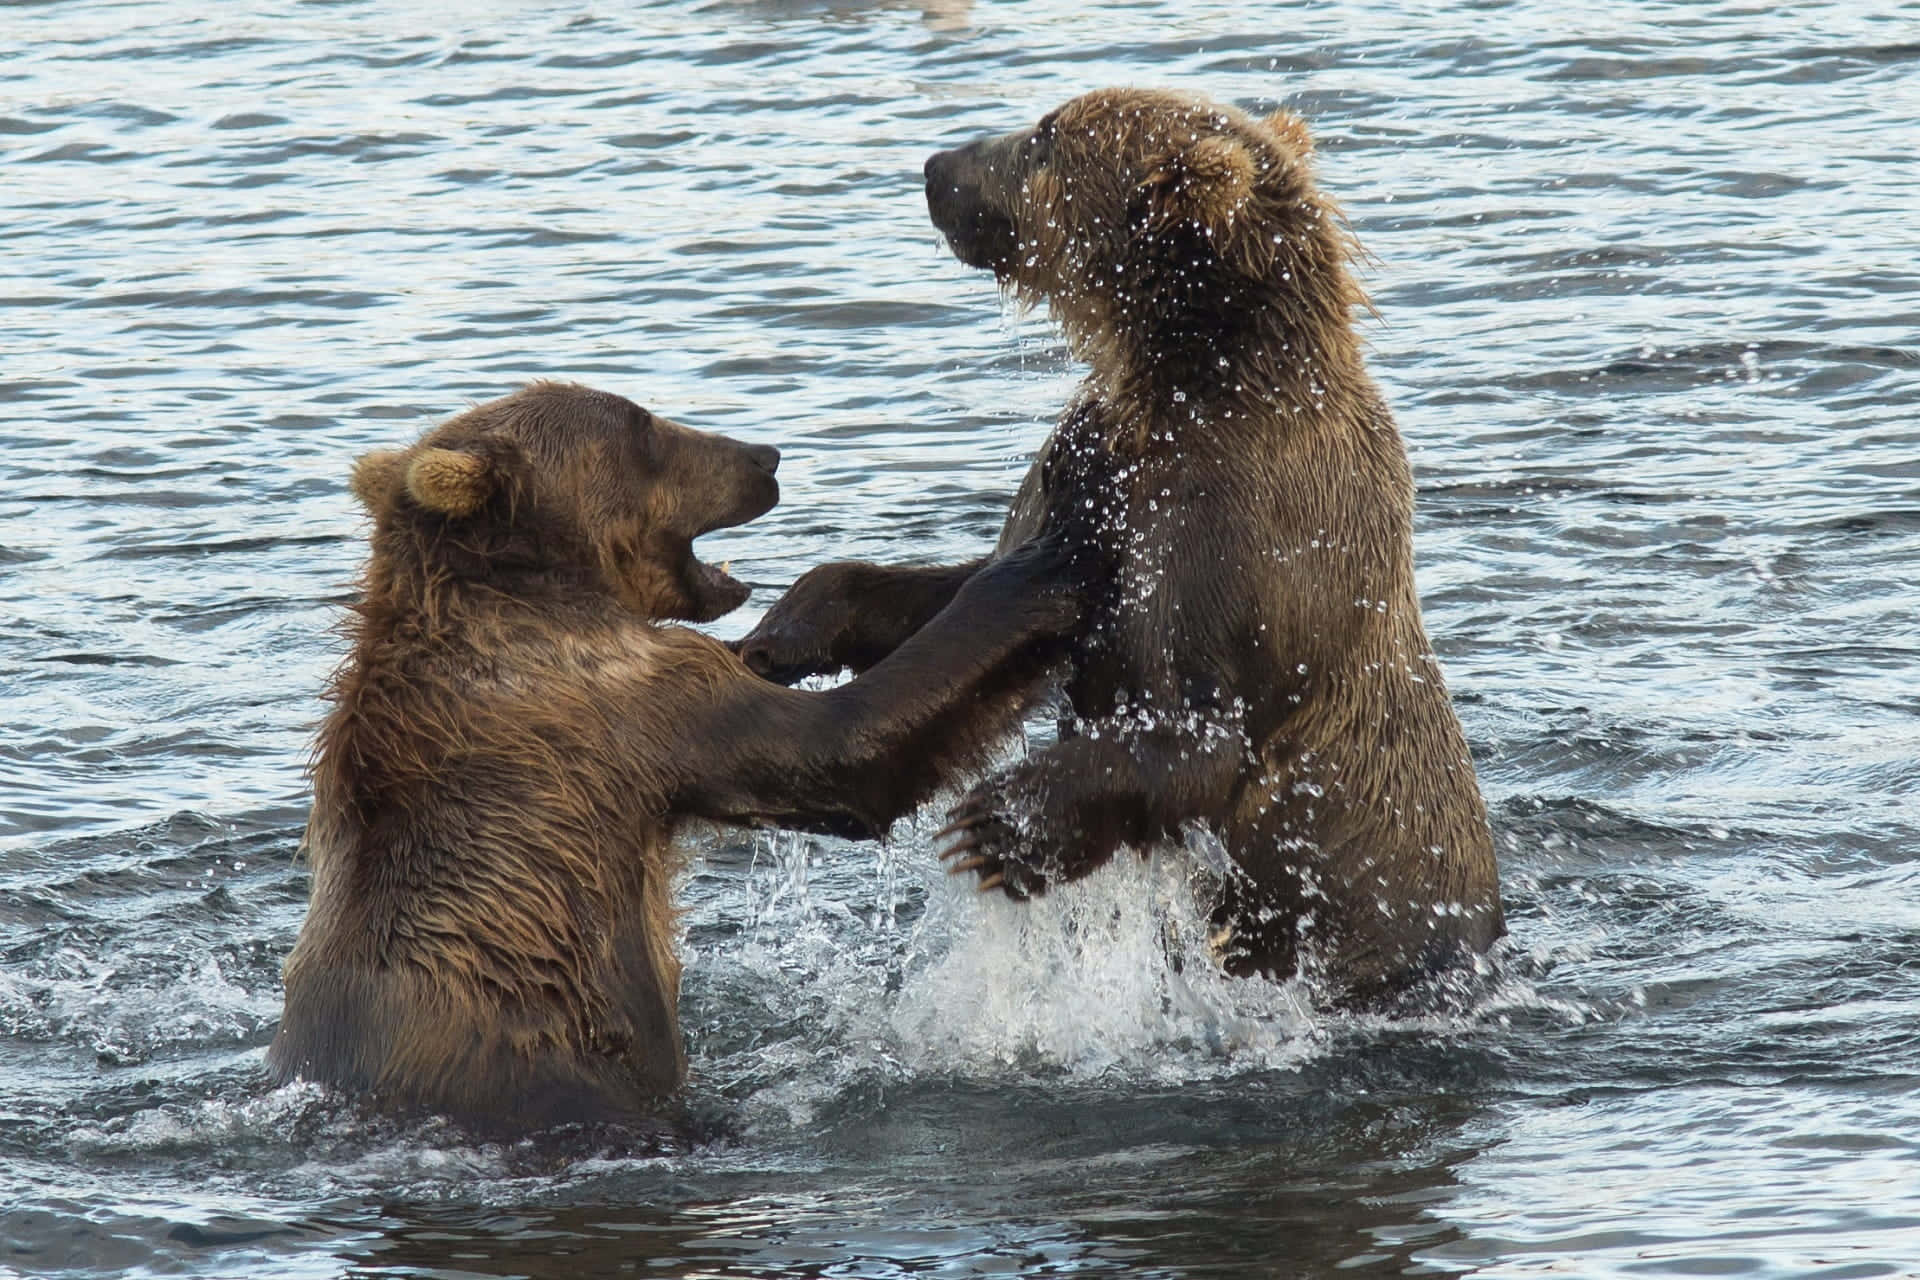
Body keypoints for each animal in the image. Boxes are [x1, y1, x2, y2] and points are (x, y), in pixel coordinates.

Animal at [266, 383, 1098, 1128]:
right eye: (641, 426)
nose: (765, 456)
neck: (531, 590)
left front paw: (800, 623)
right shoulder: (618, 698)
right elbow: (843, 751)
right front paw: (1047, 553)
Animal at [741, 90, 1505, 1005]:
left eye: (1045, 140)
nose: (936, 167)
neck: (1182, 385)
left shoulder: (1245, 542)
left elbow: (1200, 734)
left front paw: (998, 823)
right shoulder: (1085, 478)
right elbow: (964, 588)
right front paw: (783, 631)